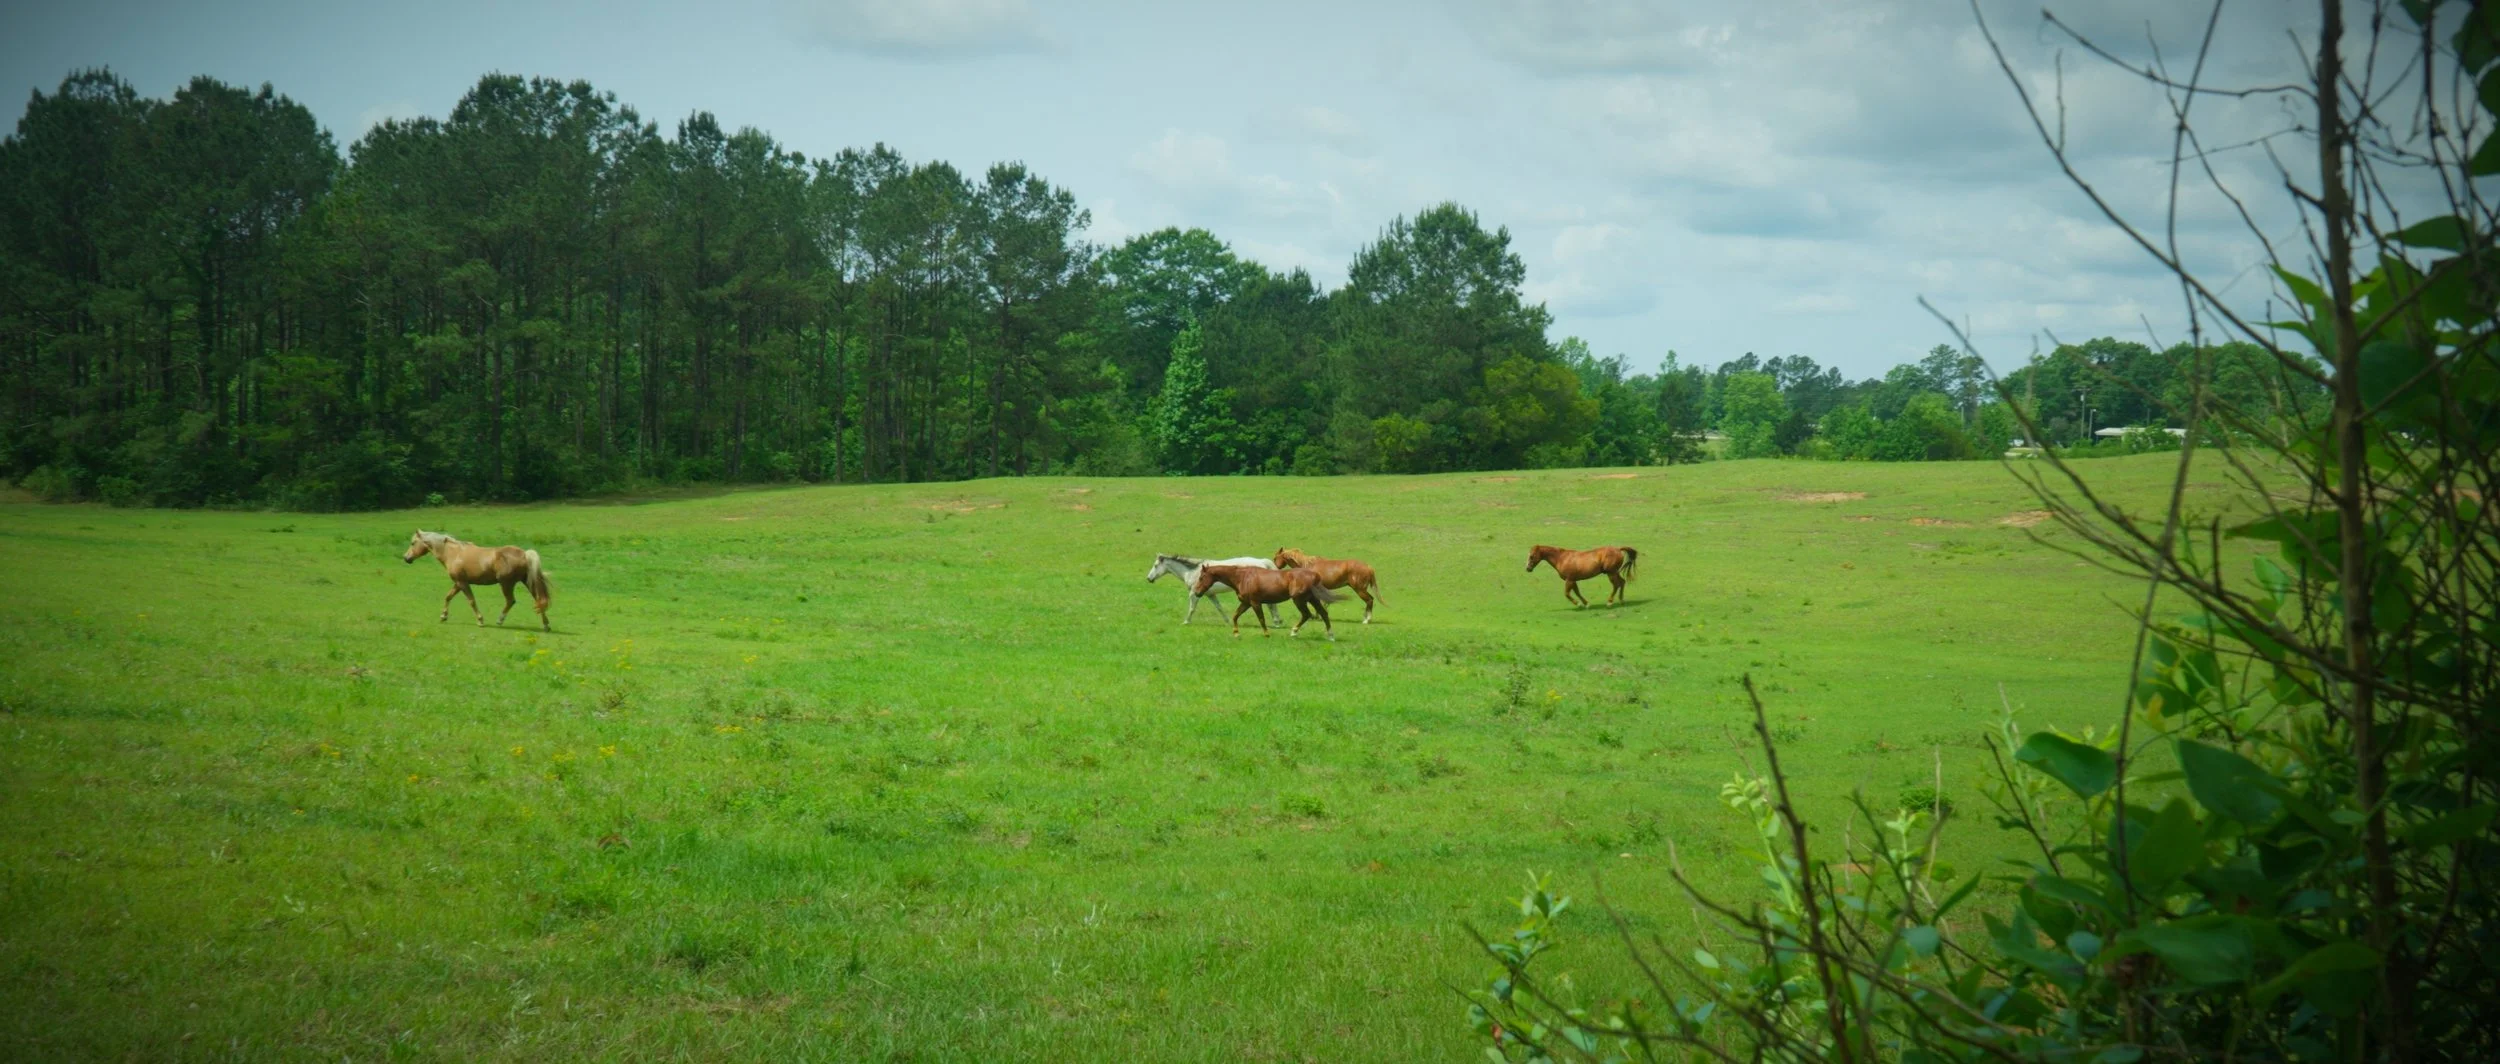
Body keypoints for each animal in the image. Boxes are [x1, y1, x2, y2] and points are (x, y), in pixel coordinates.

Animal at [403, 530, 552, 630]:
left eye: (413, 543)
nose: (406, 558)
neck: (453, 553)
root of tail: (524, 554)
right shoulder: (458, 583)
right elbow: (448, 597)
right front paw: (443, 616)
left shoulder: (463, 583)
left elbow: (471, 601)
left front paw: (480, 621)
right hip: (527, 582)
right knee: (539, 599)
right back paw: (546, 625)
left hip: (506, 584)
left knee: (511, 601)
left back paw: (500, 620)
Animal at [1146, 554, 1284, 626]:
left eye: (1155, 566)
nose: (1149, 578)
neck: (1192, 572)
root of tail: (1262, 562)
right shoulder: (1210, 594)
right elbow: (1219, 607)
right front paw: (1227, 621)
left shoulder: (1194, 594)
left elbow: (1192, 608)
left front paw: (1186, 621)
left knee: (1271, 605)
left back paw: (1276, 622)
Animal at [1192, 565, 1344, 640]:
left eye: (1201, 577)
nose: (1196, 592)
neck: (1242, 577)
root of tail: (1314, 575)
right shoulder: (1246, 603)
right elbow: (1235, 616)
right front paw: (1236, 633)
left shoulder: (1255, 602)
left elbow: (1261, 619)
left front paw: (1266, 634)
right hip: (1312, 599)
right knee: (1323, 613)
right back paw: (1330, 636)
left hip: (1299, 600)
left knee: (1307, 615)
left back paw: (1293, 632)